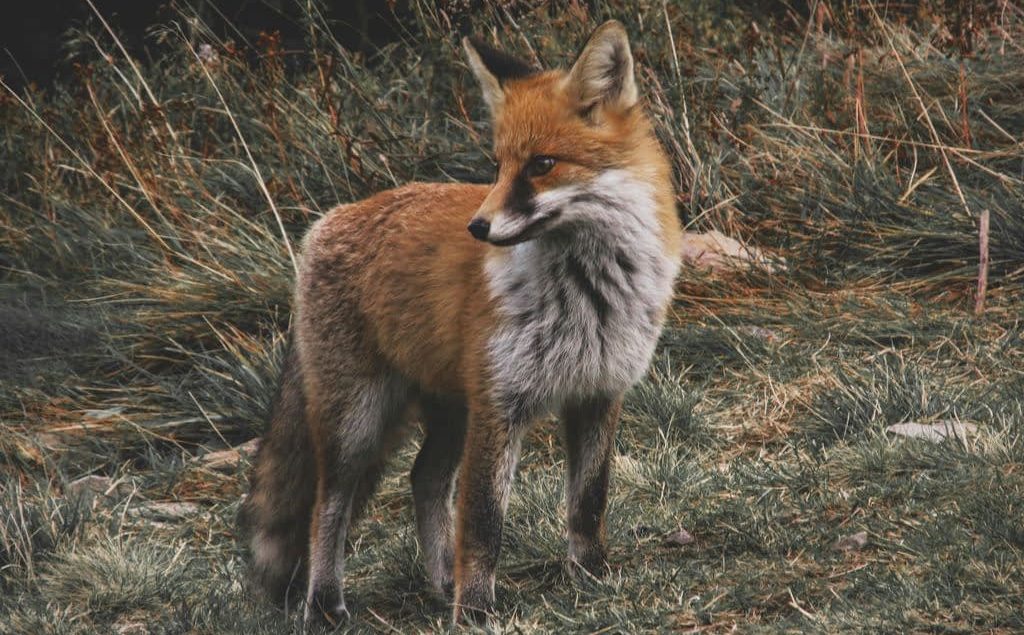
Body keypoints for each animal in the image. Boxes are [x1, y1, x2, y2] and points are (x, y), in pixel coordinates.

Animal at [239, 21, 684, 626]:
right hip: (358, 421)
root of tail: (328, 220)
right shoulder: (500, 405)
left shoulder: (599, 392)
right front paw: (473, 610)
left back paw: (439, 582)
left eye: (541, 165)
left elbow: (588, 502)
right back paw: (327, 602)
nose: (478, 227)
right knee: (327, 505)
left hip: (450, 411)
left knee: (423, 479)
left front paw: (591, 576)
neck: (587, 293)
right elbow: (482, 522)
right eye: (497, 165)